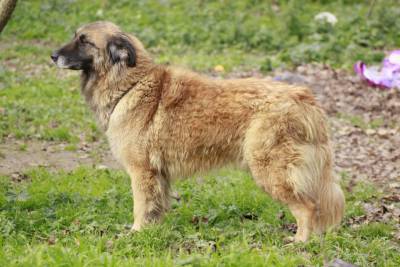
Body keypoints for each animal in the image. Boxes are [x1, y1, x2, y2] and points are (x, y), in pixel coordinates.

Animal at [50, 21, 344, 243]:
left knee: (308, 207)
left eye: (84, 41)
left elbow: (140, 208)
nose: (53, 56)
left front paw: (135, 234)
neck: (131, 84)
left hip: (271, 170)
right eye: (75, 36)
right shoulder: (158, 175)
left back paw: (300, 243)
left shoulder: (142, 172)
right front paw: (152, 233)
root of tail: (304, 98)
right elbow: (155, 209)